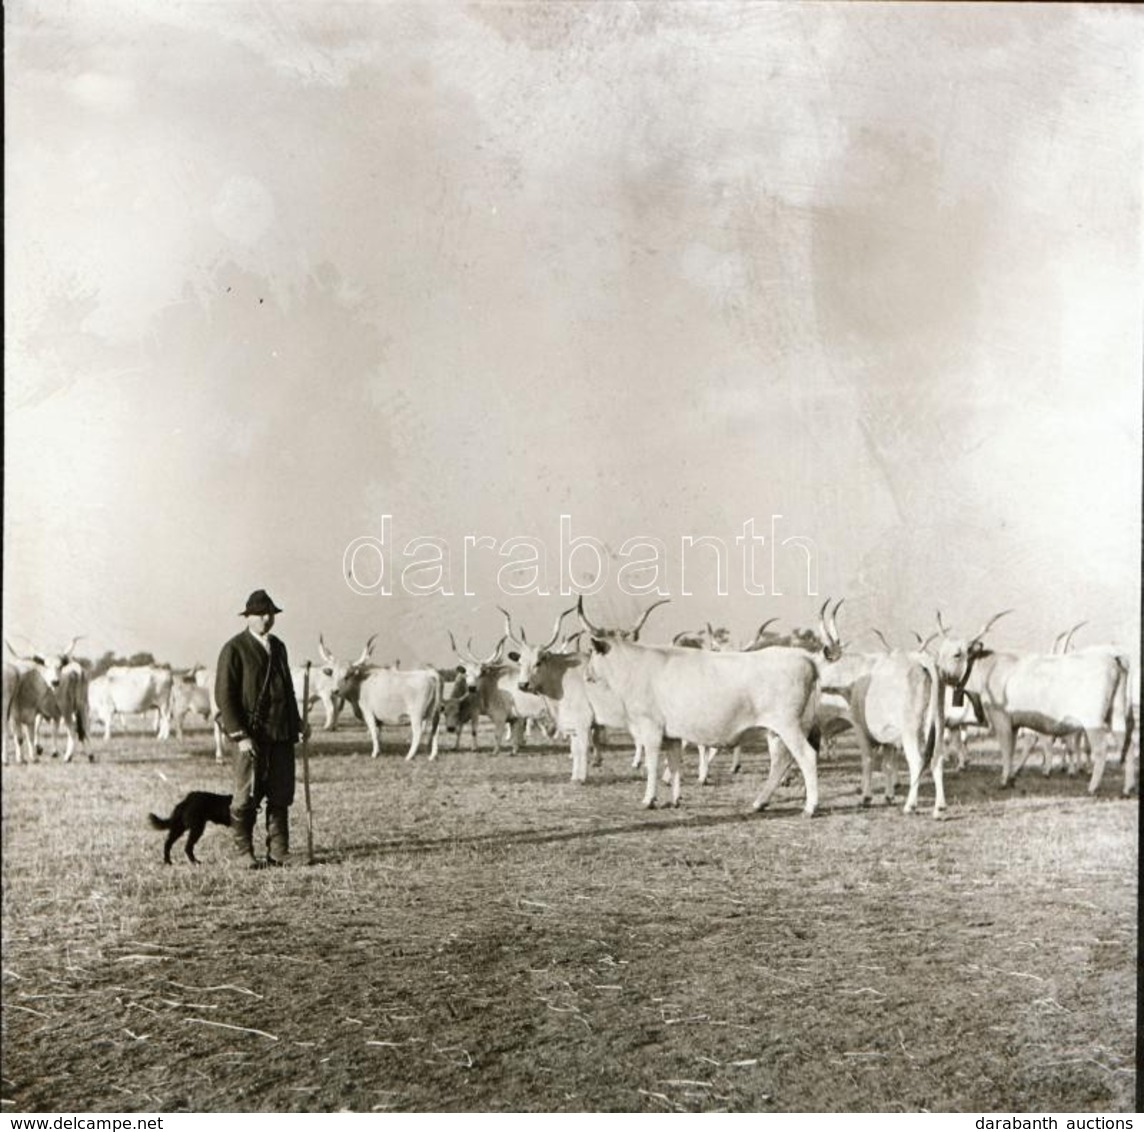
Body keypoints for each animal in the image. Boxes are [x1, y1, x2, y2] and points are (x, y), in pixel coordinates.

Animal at [581, 599, 823, 809]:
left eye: (591, 651)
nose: (586, 675)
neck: (635, 666)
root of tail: (805, 658)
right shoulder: (672, 734)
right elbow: (675, 763)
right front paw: (675, 799)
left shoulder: (650, 728)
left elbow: (652, 763)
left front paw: (648, 799)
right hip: (776, 731)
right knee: (781, 761)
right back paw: (759, 803)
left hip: (788, 725)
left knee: (806, 756)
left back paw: (810, 807)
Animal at [928, 617, 1134, 791]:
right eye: (940, 652)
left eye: (956, 654)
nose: (939, 672)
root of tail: (1113, 657)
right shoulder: (1014, 723)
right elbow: (1011, 749)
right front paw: (1010, 778)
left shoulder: (1001, 718)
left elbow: (1005, 749)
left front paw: (1003, 781)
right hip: (1116, 713)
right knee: (1127, 744)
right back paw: (1127, 788)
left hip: (1093, 721)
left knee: (1100, 749)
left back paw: (1092, 787)